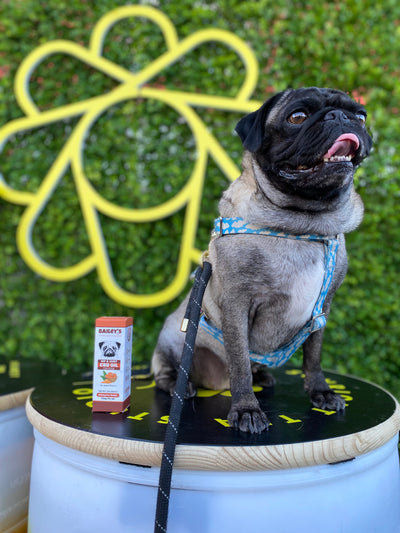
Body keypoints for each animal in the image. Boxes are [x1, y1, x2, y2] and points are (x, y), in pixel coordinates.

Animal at [152, 87, 374, 432]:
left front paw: (320, 392)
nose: (339, 116)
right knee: (168, 372)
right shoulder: (236, 306)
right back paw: (182, 385)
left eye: (361, 116)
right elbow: (240, 362)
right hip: (174, 338)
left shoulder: (322, 311)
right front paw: (246, 409)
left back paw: (263, 376)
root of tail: (215, 382)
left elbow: (314, 357)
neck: (301, 225)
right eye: (297, 117)